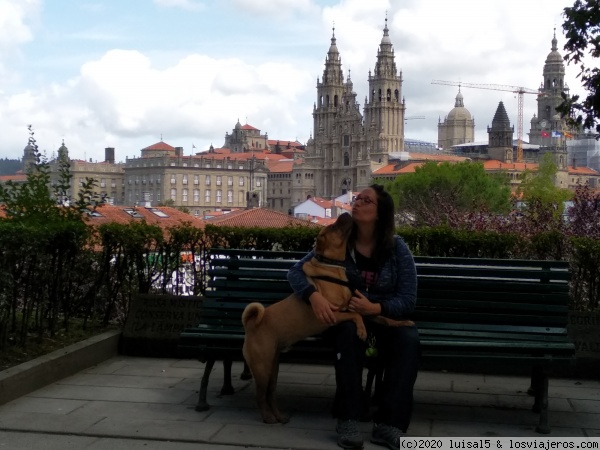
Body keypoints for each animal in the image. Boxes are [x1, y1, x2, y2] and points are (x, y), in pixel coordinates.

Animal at [239, 213, 412, 424]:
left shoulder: (362, 309)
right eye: (333, 227)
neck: (332, 267)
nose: (345, 213)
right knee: (260, 394)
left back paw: (279, 415)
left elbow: (383, 317)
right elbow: (355, 315)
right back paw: (268, 417)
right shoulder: (332, 314)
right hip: (262, 365)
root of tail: (250, 324)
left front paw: (402, 322)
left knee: (270, 392)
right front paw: (362, 330)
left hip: (273, 364)